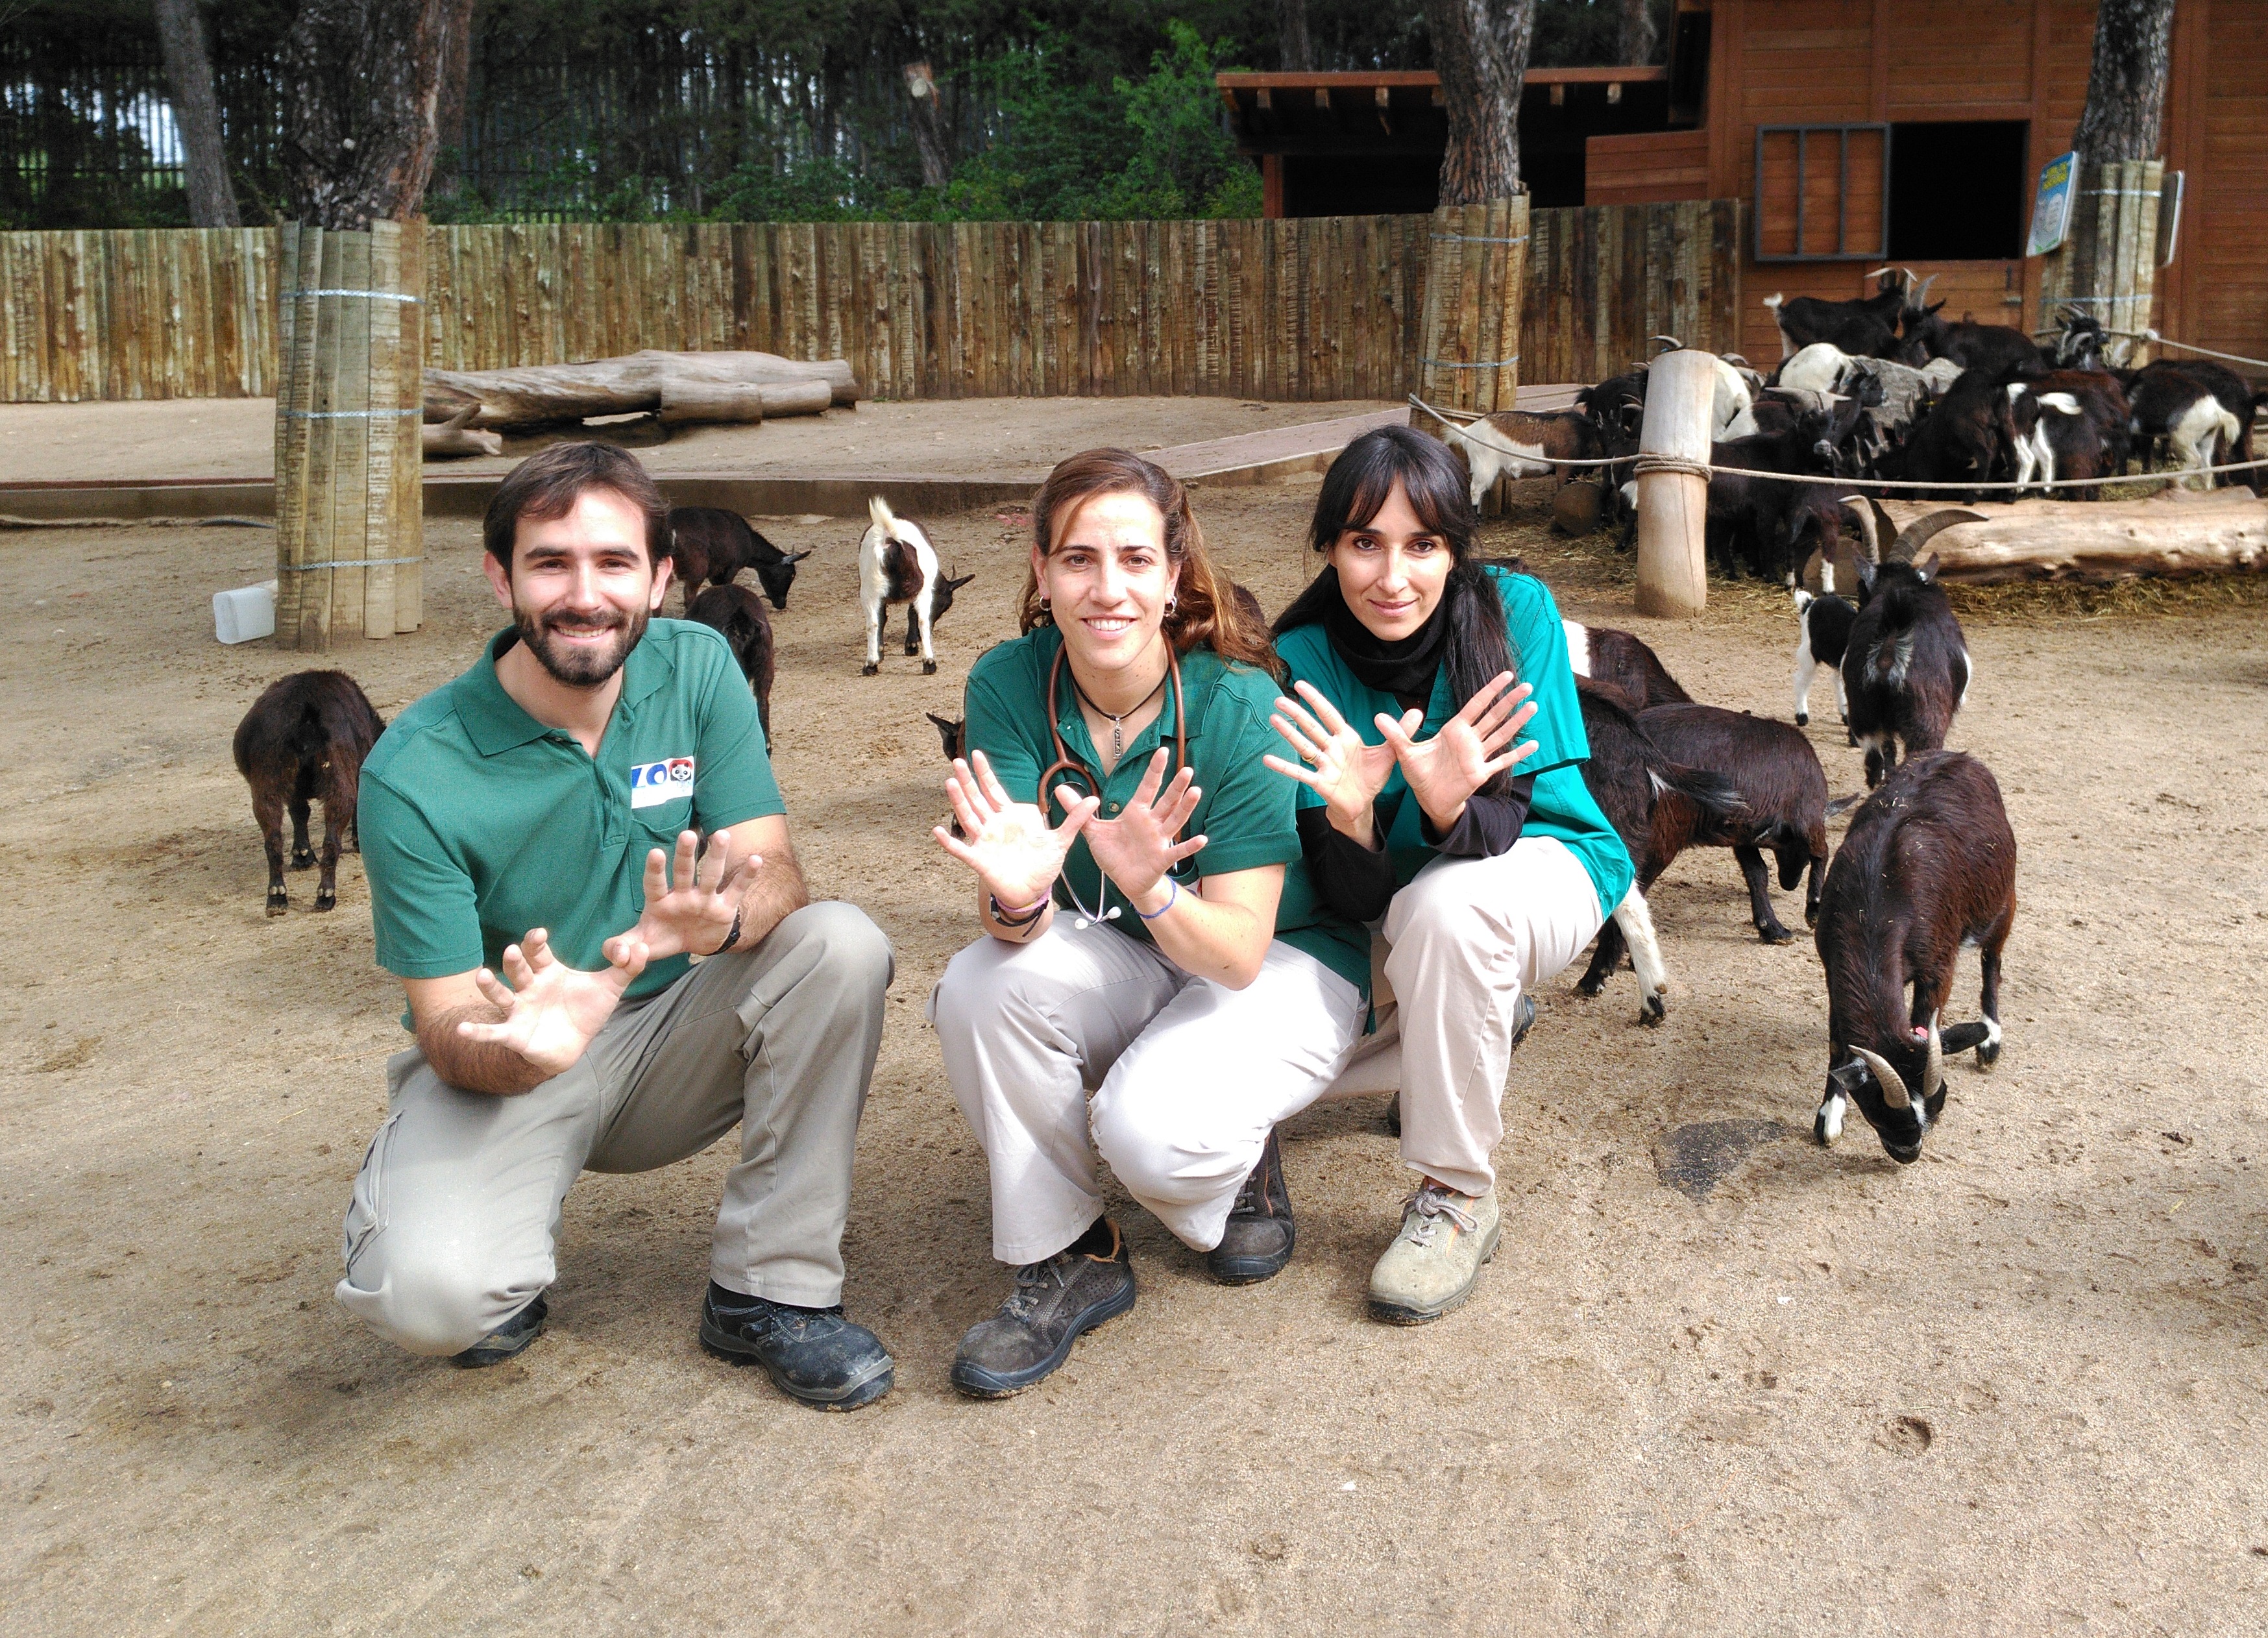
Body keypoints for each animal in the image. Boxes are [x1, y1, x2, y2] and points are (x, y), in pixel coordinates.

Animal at [232, 666, 383, 916]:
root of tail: (305, 714)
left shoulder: (293, 792)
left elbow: (299, 813)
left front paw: (302, 856)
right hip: (338, 779)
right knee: (331, 841)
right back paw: (325, 895)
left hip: (267, 785)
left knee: (273, 841)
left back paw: (277, 897)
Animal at [662, 501, 816, 607]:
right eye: (791, 574)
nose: (782, 604)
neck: (749, 542)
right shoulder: (733, 566)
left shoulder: (716, 572)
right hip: (697, 568)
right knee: (689, 595)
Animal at [1805, 748, 2023, 1156]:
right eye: (1876, 1110)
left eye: (1939, 1103)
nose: (1909, 1152)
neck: (1878, 900)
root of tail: (1958, 756)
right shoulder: (1832, 966)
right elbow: (1838, 1039)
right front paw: (1830, 1114)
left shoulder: (1938, 965)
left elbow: (1927, 1013)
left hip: (2003, 901)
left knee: (1992, 961)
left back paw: (1990, 1039)